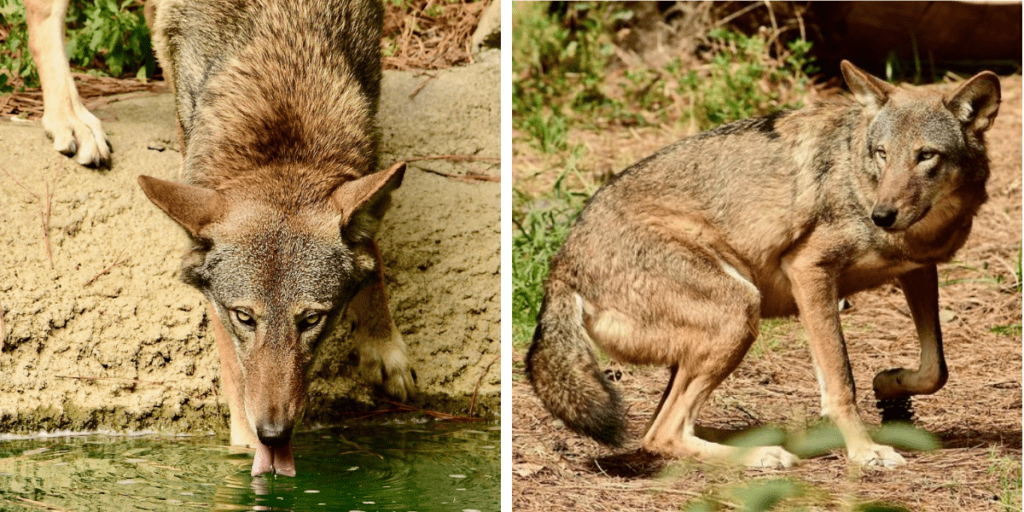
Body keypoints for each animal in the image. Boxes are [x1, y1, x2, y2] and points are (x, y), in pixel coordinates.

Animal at [26, 0, 416, 477]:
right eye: (243, 317)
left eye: (310, 320)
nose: (274, 434)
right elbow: (233, 365)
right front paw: (247, 443)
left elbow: (371, 248)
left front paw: (383, 347)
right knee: (43, 16)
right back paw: (70, 118)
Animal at [527, 61, 1000, 469]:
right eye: (882, 153)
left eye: (926, 155)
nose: (881, 215)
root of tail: (561, 265)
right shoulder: (809, 270)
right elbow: (841, 382)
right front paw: (865, 451)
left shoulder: (918, 270)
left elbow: (936, 368)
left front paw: (890, 383)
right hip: (740, 311)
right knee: (662, 433)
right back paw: (763, 455)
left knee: (659, 427)